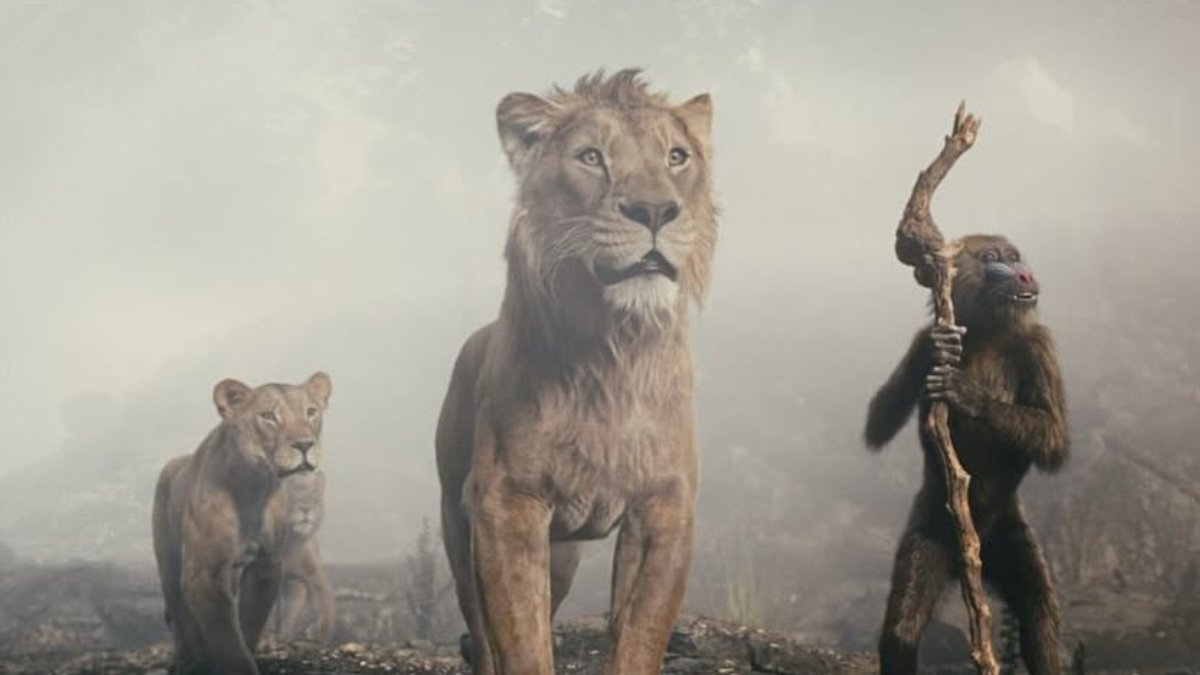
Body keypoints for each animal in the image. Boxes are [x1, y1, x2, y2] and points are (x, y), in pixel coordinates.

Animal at [152, 372, 332, 675]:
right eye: (269, 416)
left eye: (311, 411)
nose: (305, 445)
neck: (254, 488)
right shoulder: (204, 572)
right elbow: (226, 637)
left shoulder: (267, 565)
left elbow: (249, 624)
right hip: (169, 561)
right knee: (178, 612)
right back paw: (187, 659)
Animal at [435, 69, 716, 675]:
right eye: (591, 157)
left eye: (677, 157)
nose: (656, 211)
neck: (613, 351)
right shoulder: (506, 506)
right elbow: (521, 641)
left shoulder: (665, 507)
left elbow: (640, 635)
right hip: (457, 523)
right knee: (482, 632)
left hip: (561, 552)